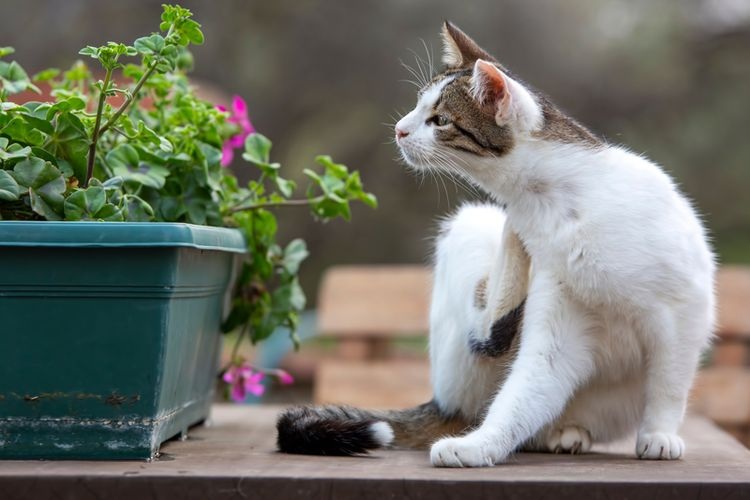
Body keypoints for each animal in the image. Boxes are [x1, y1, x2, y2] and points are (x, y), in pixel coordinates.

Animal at [278, 22, 716, 468]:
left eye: (439, 120)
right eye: (417, 106)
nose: (399, 129)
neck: (550, 205)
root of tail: (442, 404)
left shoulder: (684, 309)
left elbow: (669, 380)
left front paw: (660, 434)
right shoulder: (561, 316)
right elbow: (523, 393)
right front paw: (480, 445)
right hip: (471, 222)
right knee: (487, 333)